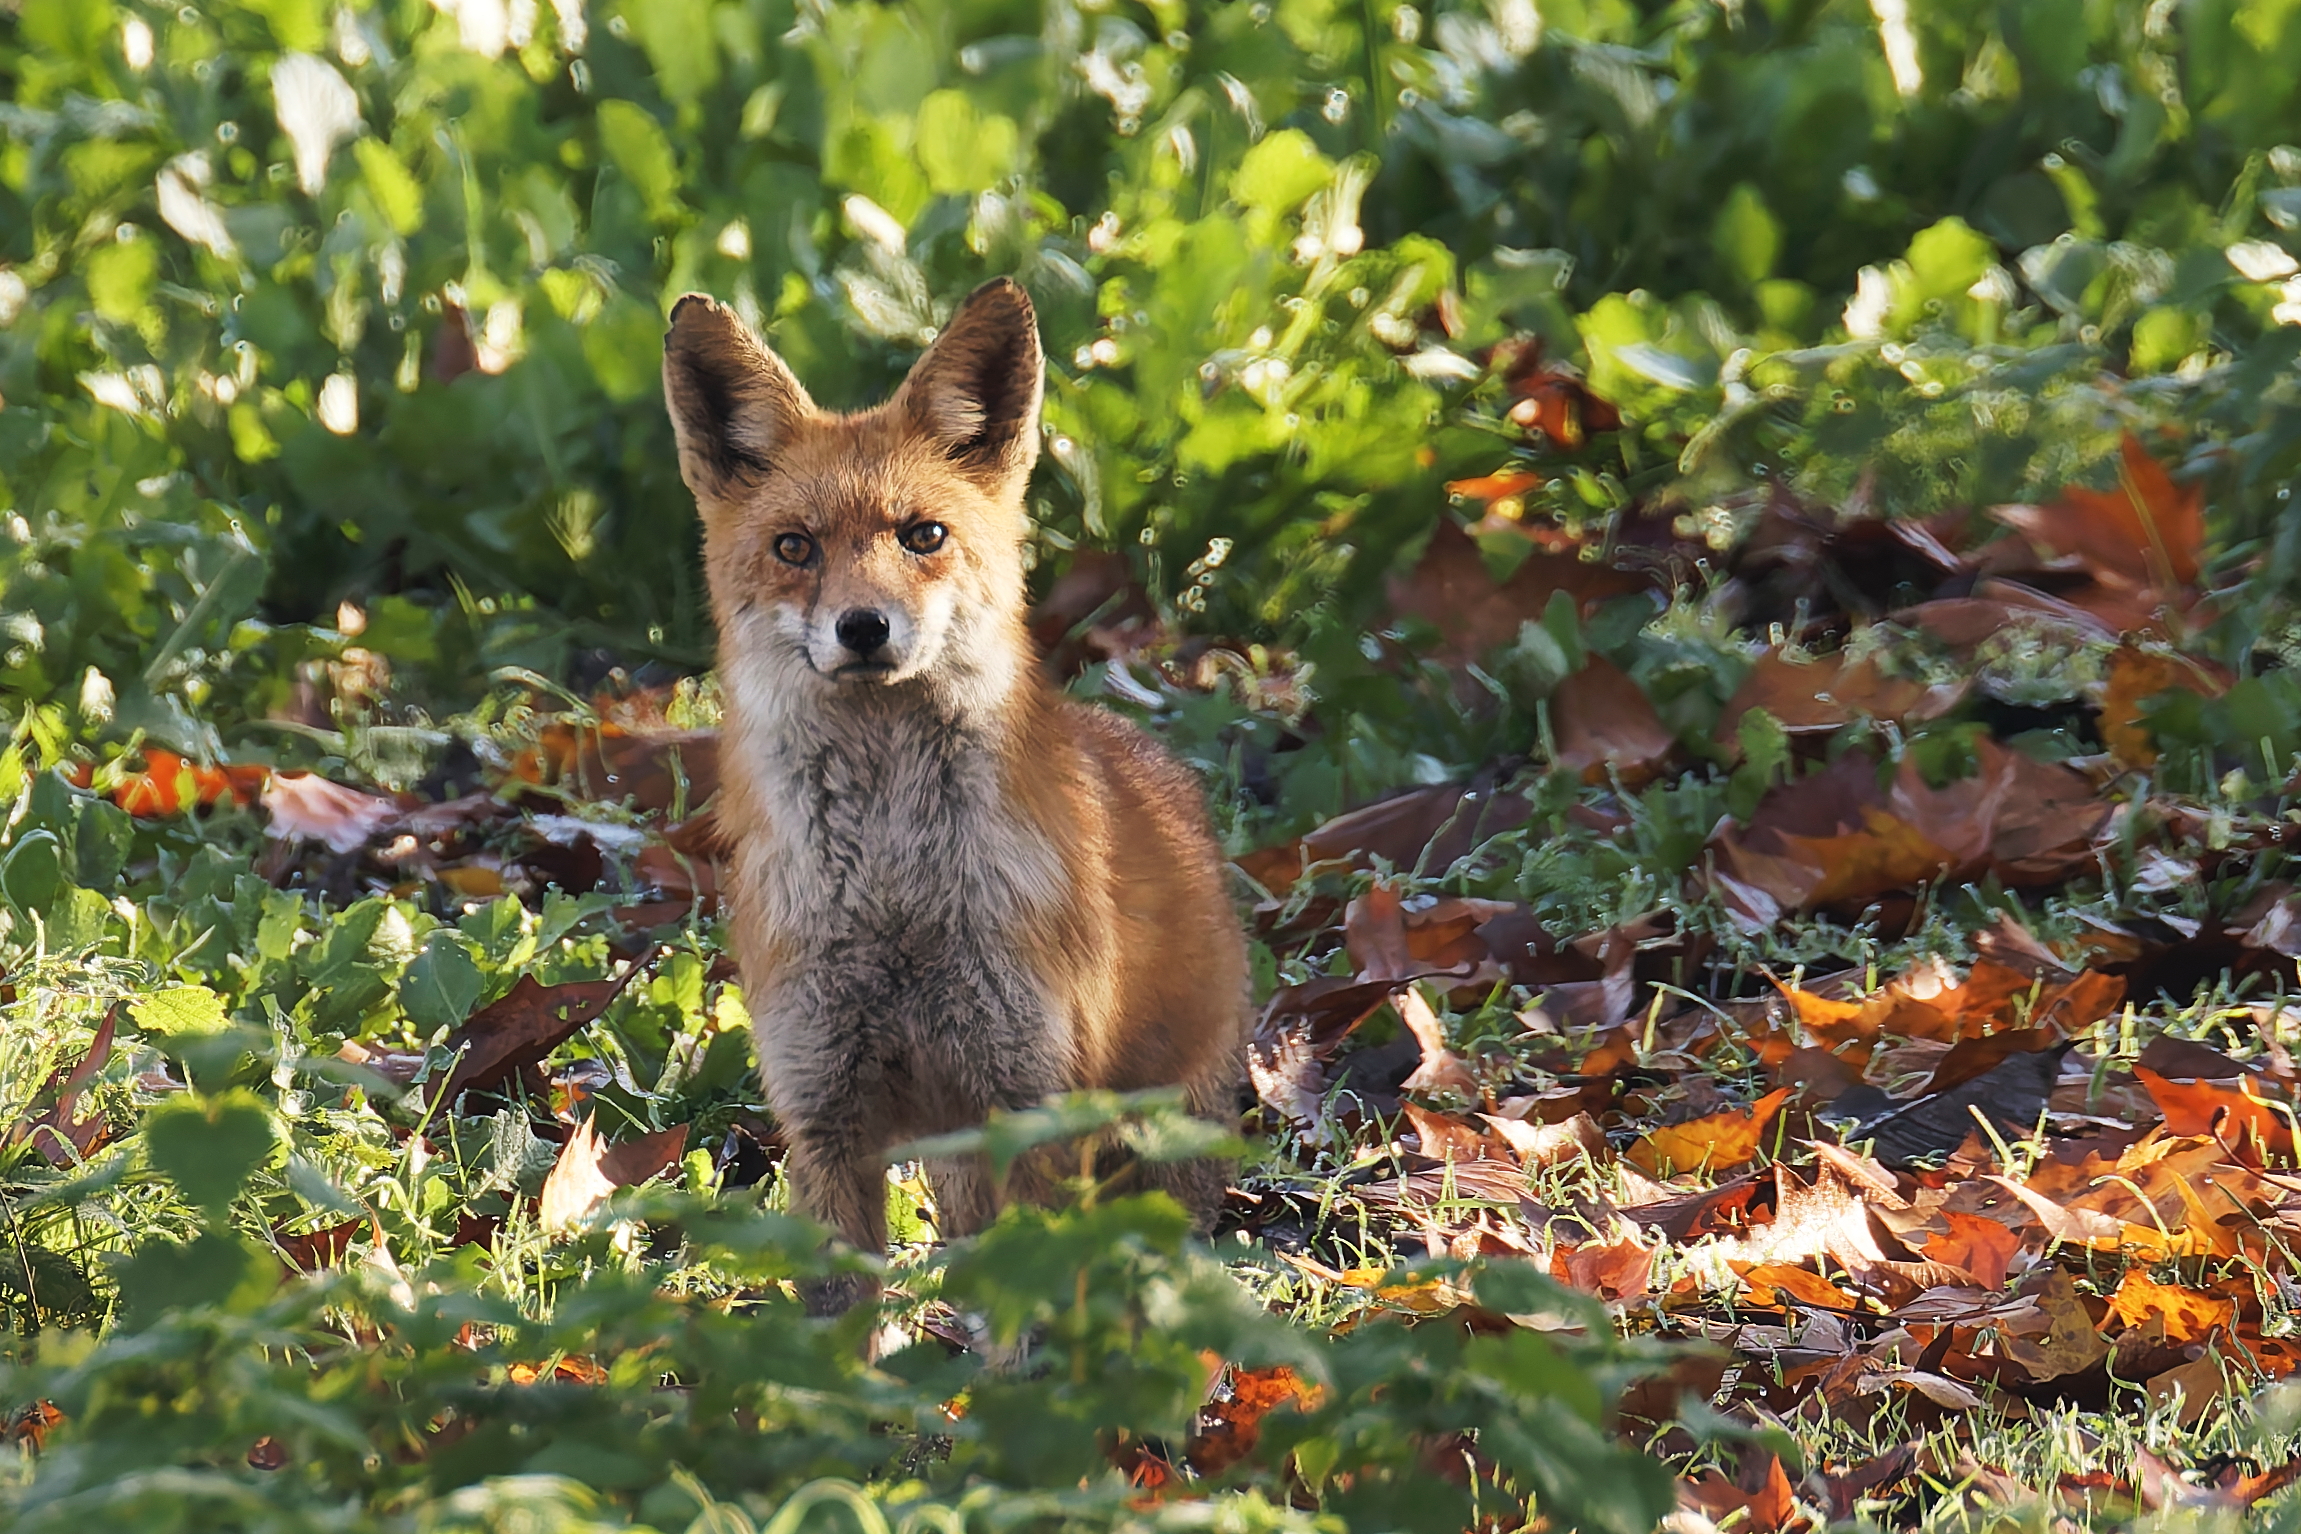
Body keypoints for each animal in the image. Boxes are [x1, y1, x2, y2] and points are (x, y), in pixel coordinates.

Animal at [661, 278, 1250, 1309]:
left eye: (922, 536)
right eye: (795, 547)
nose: (863, 627)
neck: (893, 891)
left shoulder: (1029, 1100)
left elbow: (1032, 1321)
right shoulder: (824, 1113)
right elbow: (832, 1327)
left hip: (1149, 1154)